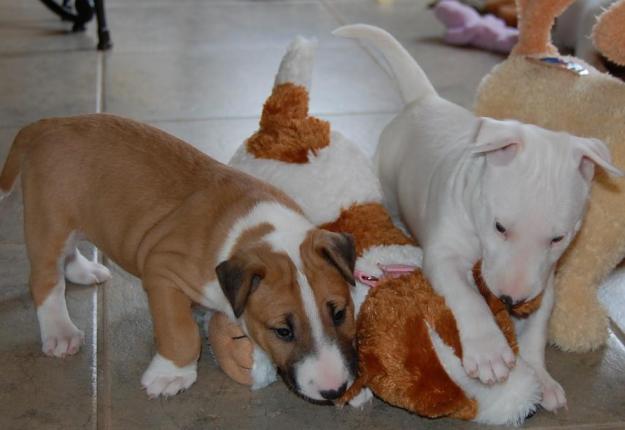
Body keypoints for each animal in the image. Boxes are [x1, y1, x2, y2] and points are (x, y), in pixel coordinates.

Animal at [0, 113, 358, 400]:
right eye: (283, 331)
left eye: (340, 313)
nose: (335, 390)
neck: (257, 232)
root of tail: (50, 123)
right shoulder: (163, 271)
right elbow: (180, 331)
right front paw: (171, 374)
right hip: (49, 220)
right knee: (45, 279)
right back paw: (60, 332)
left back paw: (83, 270)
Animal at [334, 24, 620, 414]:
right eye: (500, 227)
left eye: (558, 238)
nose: (511, 300)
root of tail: (425, 101)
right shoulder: (444, 254)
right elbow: (466, 294)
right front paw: (489, 352)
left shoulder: (545, 278)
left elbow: (537, 329)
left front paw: (541, 377)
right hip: (386, 181)